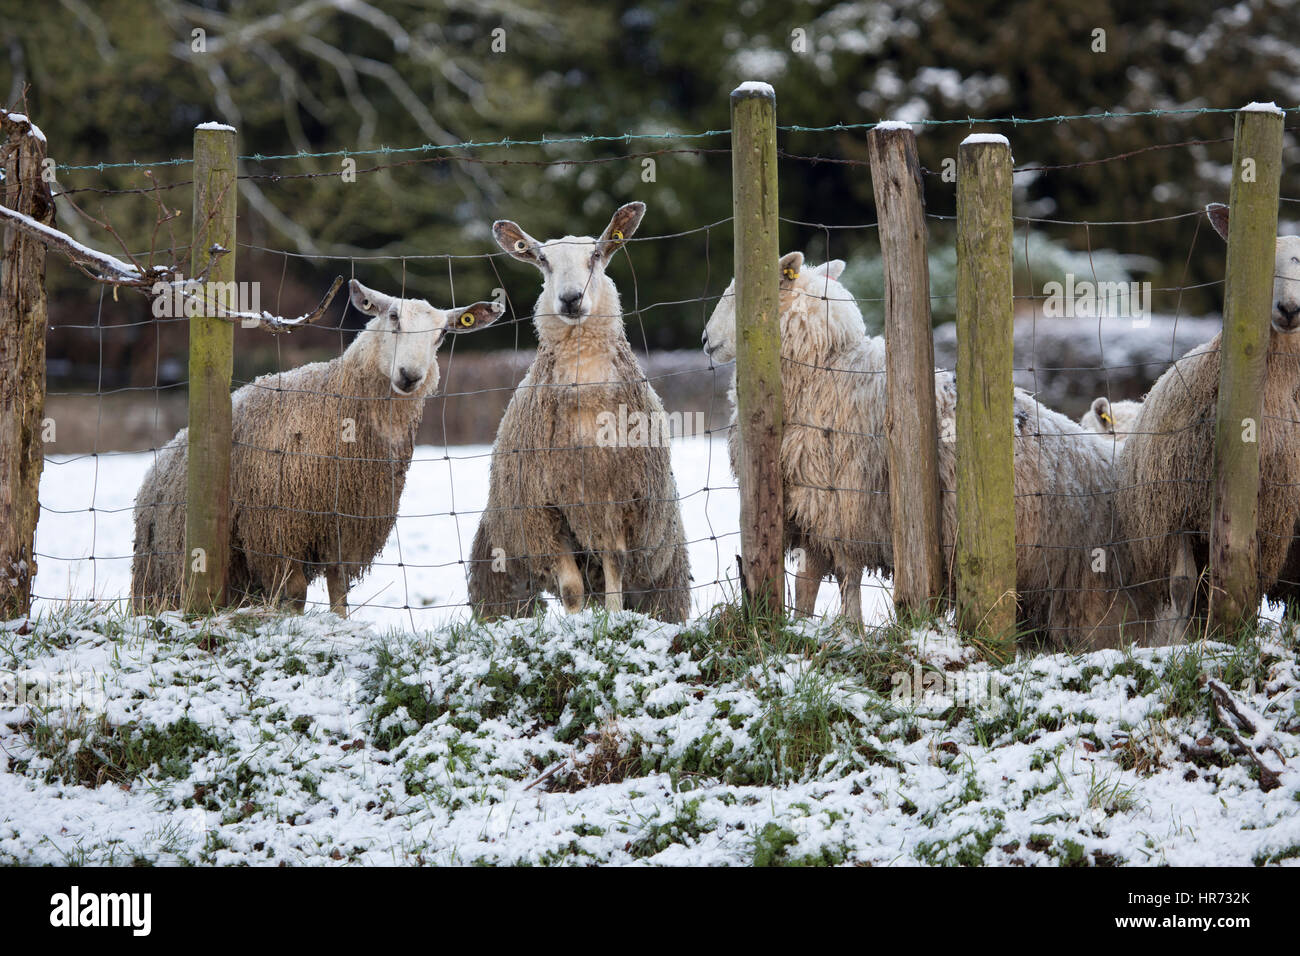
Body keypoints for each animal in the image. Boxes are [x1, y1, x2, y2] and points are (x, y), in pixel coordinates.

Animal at [131, 279, 502, 615]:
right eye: (393, 317)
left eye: (441, 334)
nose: (410, 376)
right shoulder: (275, 530)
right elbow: (295, 594)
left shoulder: (345, 528)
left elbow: (339, 591)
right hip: (166, 573)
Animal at [467, 202, 691, 623]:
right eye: (543, 261)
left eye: (596, 256)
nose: (571, 299)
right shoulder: (542, 512)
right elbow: (571, 589)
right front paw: (575, 626)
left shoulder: (618, 504)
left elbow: (616, 567)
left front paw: (614, 619)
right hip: (500, 563)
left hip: (665, 572)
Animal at [702, 252, 1157, 646]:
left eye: (739, 291)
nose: (705, 339)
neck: (825, 370)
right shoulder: (811, 504)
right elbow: (808, 582)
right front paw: (800, 627)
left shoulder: (846, 503)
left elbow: (847, 577)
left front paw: (851, 631)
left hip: (1092, 582)